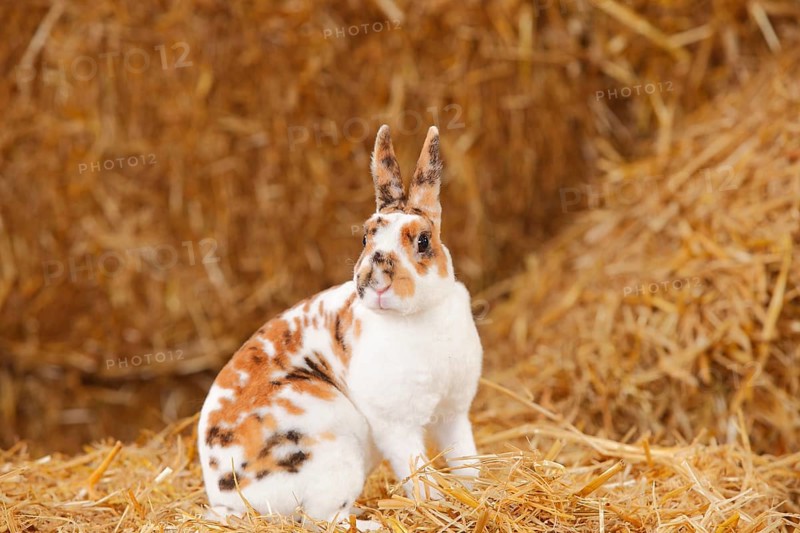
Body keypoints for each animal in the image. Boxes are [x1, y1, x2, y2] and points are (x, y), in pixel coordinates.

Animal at [198, 124, 483, 529]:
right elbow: (418, 473)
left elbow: (465, 462)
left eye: (424, 241)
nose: (373, 282)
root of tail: (228, 499)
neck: (417, 316)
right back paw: (372, 523)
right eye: (365, 237)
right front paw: (434, 508)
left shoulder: (453, 414)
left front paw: (475, 495)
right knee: (322, 519)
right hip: (334, 453)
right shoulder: (396, 426)